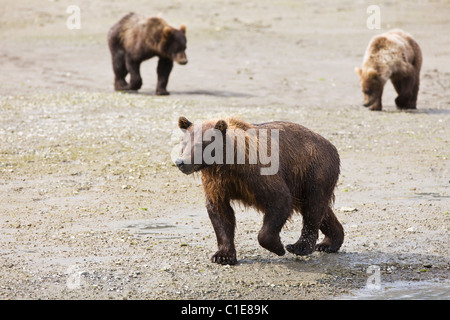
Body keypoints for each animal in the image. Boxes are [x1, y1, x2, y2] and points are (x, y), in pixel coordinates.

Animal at [174, 116, 342, 264]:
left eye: (200, 144)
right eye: (184, 143)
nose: (180, 162)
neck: (228, 164)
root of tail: (330, 144)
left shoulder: (258, 173)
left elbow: (280, 199)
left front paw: (278, 247)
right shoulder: (217, 183)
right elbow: (220, 212)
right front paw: (223, 256)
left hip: (314, 169)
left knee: (313, 206)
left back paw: (299, 246)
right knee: (320, 210)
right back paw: (329, 243)